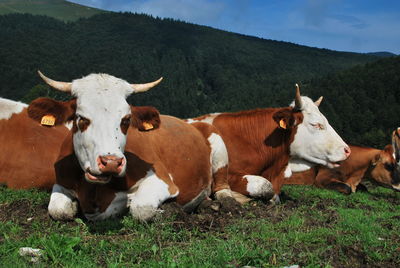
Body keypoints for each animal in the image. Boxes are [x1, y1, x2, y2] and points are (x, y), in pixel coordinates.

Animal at [28, 70, 233, 220]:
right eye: (81, 118)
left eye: (126, 120)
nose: (111, 162)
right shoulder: (61, 181)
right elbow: (58, 210)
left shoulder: (163, 180)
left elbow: (140, 208)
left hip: (219, 145)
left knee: (222, 187)